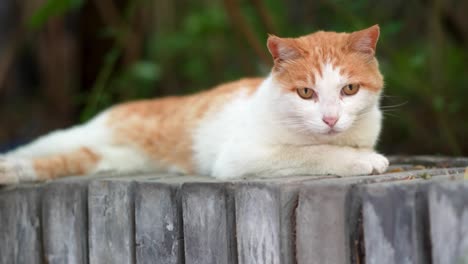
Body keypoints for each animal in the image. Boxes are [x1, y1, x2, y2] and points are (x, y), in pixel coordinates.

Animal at [0, 25, 388, 185]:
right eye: (306, 93)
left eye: (349, 89)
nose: (330, 119)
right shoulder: (240, 157)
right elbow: (310, 153)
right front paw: (359, 161)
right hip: (79, 133)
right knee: (38, 147)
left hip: (108, 158)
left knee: (57, 162)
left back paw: (12, 173)